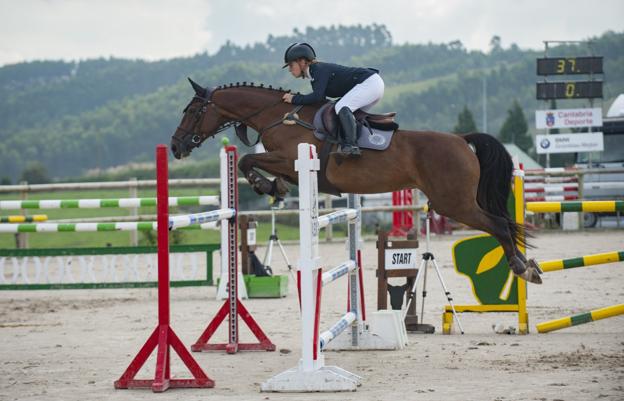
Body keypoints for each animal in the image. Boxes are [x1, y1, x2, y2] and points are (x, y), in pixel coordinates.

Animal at [169, 79, 540, 284]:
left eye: (192, 110)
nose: (175, 146)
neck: (280, 117)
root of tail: (462, 139)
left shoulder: (291, 159)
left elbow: (248, 159)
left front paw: (266, 186)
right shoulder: (290, 166)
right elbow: (254, 163)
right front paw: (274, 188)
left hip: (454, 203)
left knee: (499, 224)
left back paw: (523, 268)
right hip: (455, 201)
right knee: (501, 224)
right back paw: (528, 266)